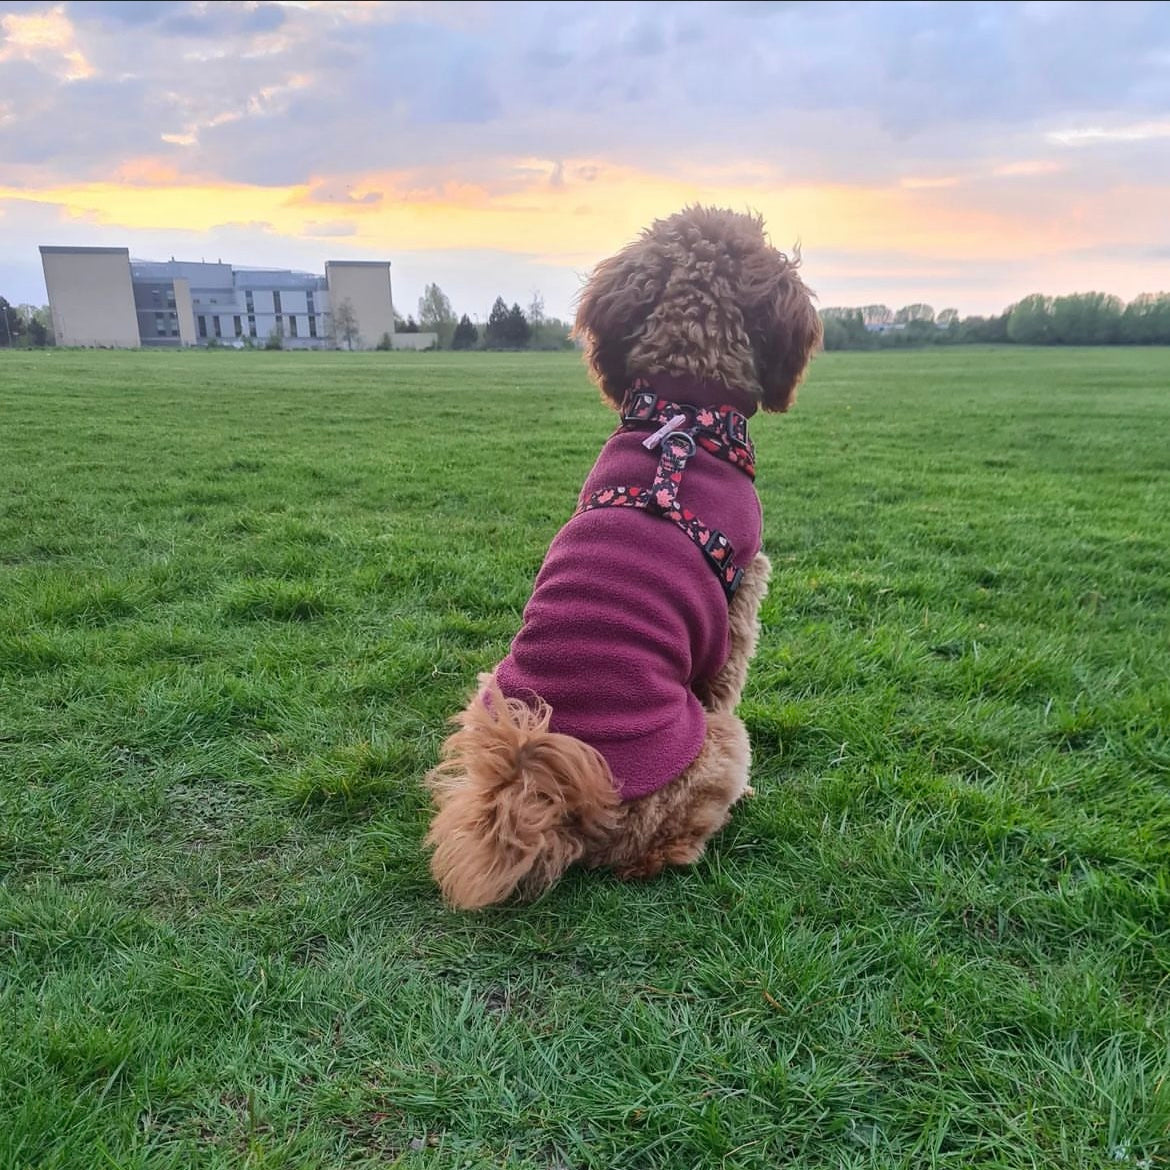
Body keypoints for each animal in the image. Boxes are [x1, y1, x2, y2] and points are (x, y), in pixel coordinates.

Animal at [424, 206, 822, 909]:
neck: (683, 409)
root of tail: (548, 796)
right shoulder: (738, 609)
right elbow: (725, 681)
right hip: (717, 745)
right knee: (658, 848)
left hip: (487, 702)